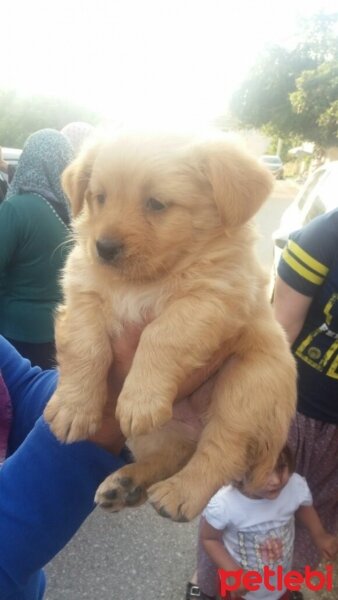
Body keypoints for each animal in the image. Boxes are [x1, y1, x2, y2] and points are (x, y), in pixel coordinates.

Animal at [44, 131, 296, 520]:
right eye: (99, 197)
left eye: (157, 204)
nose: (104, 248)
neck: (143, 282)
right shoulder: (83, 292)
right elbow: (86, 345)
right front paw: (74, 408)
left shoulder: (208, 300)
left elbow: (160, 334)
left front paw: (140, 399)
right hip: (163, 431)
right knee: (173, 453)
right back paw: (126, 484)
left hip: (247, 385)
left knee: (221, 452)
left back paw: (180, 493)